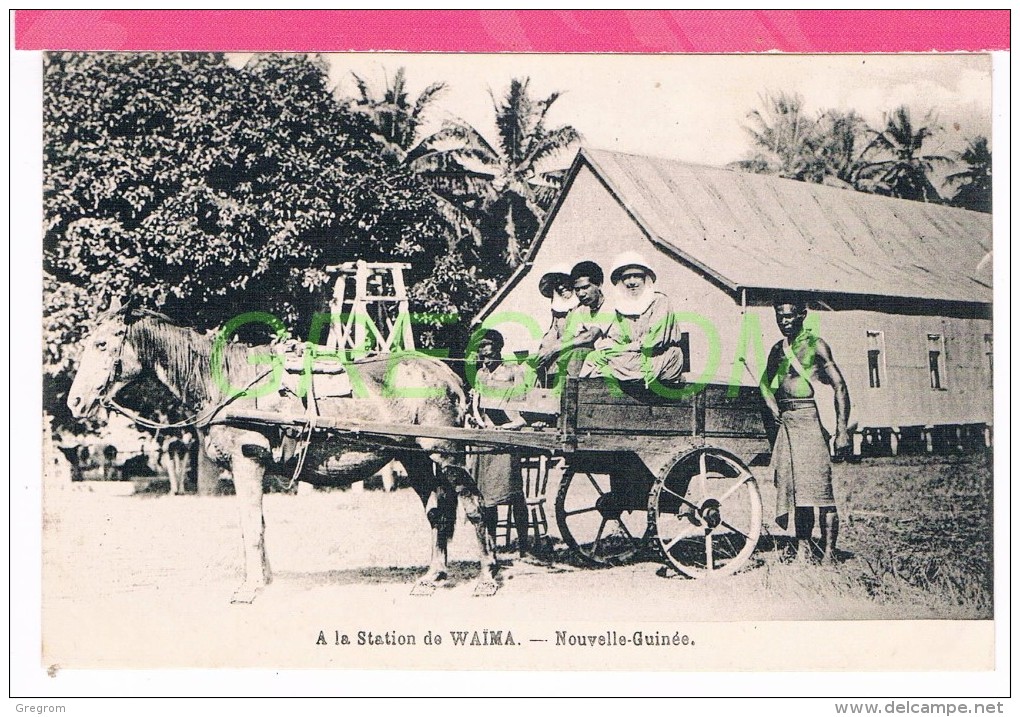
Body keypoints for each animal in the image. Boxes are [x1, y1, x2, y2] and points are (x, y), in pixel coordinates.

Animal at [66, 299, 497, 603]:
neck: (227, 383)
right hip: (415, 457)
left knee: (474, 506)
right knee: (439, 512)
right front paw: (265, 579)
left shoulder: (247, 462)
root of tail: (449, 375)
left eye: (102, 344)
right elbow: (256, 524)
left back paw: (487, 578)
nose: (75, 402)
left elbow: (251, 525)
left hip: (444, 452)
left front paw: (250, 586)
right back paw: (432, 577)